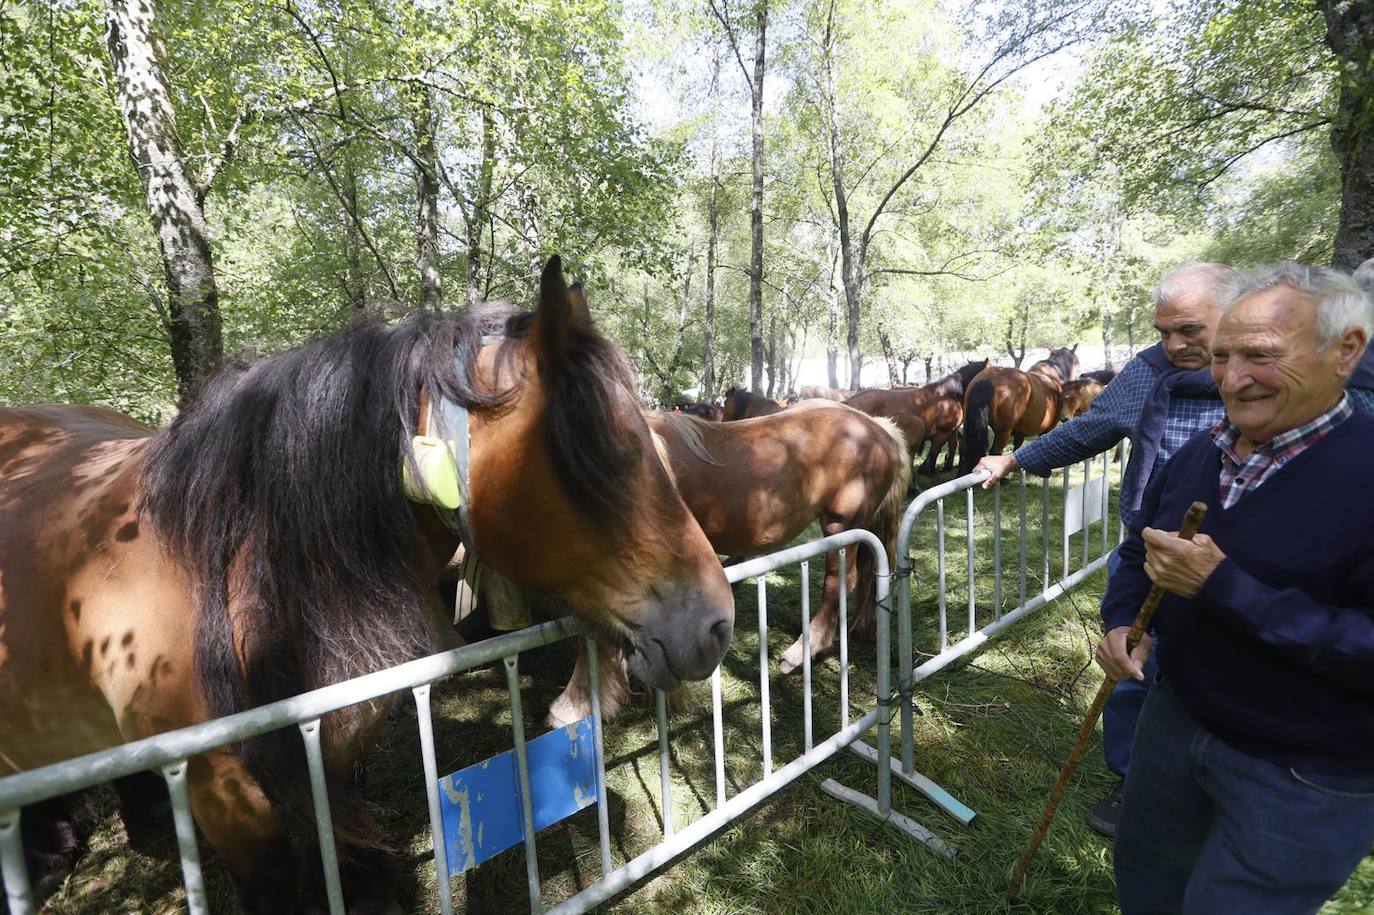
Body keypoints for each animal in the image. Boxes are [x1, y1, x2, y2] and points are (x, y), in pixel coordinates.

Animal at [840, 357, 994, 469]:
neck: (949, 395)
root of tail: (847, 402)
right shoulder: (943, 432)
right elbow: (934, 451)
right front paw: (928, 470)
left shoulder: (952, 431)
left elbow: (952, 446)